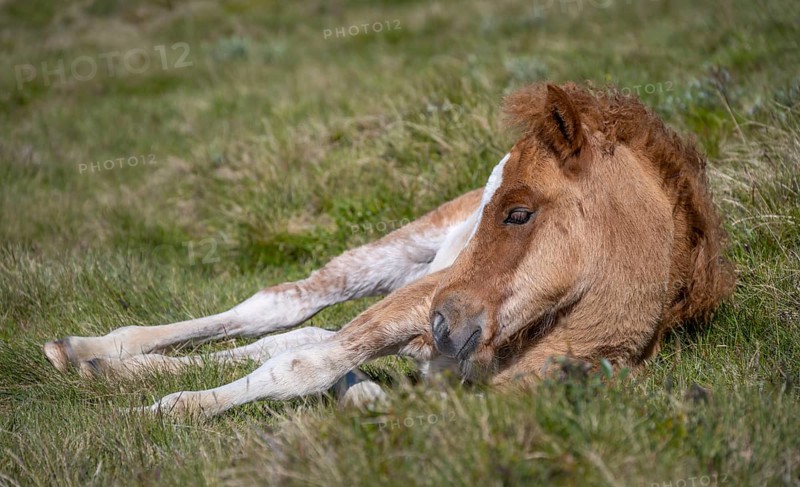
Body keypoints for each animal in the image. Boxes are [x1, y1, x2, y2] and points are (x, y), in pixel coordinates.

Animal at [43, 82, 736, 416]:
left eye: (519, 212)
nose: (448, 321)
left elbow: (305, 358)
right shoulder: (421, 301)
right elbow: (302, 364)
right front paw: (168, 412)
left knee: (297, 333)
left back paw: (103, 366)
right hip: (406, 261)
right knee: (281, 309)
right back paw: (92, 350)